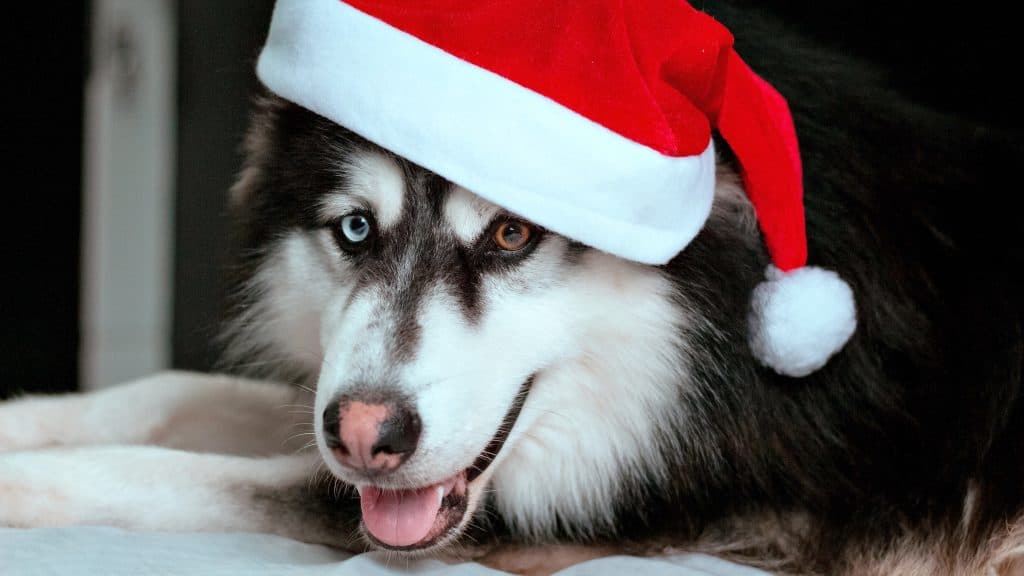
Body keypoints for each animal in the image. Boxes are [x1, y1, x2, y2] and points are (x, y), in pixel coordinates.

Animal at [2, 2, 1024, 569]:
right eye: (356, 229)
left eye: (511, 234)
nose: (365, 436)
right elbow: (174, 394)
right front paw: (23, 420)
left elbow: (170, 473)